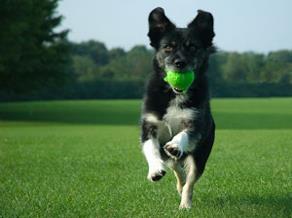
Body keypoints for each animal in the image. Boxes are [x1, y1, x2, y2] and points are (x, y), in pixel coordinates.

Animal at [140, 7, 216, 209]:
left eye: (192, 47)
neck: (175, 94)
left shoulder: (196, 123)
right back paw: (178, 184)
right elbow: (150, 148)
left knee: (190, 180)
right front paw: (155, 170)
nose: (180, 63)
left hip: (200, 155)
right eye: (168, 47)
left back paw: (185, 203)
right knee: (176, 168)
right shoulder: (149, 125)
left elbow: (185, 134)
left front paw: (175, 145)